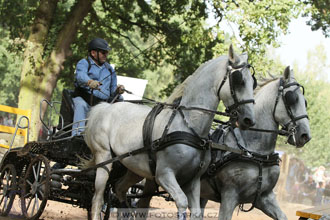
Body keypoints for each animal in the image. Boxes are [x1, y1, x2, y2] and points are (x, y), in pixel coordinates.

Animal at [84, 45, 256, 220]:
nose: (249, 120)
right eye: (239, 80)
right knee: (98, 198)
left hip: (135, 168)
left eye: (253, 83)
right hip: (104, 159)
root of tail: (105, 107)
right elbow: (182, 202)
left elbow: (196, 212)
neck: (189, 127)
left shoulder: (193, 181)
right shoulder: (164, 175)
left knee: (119, 189)